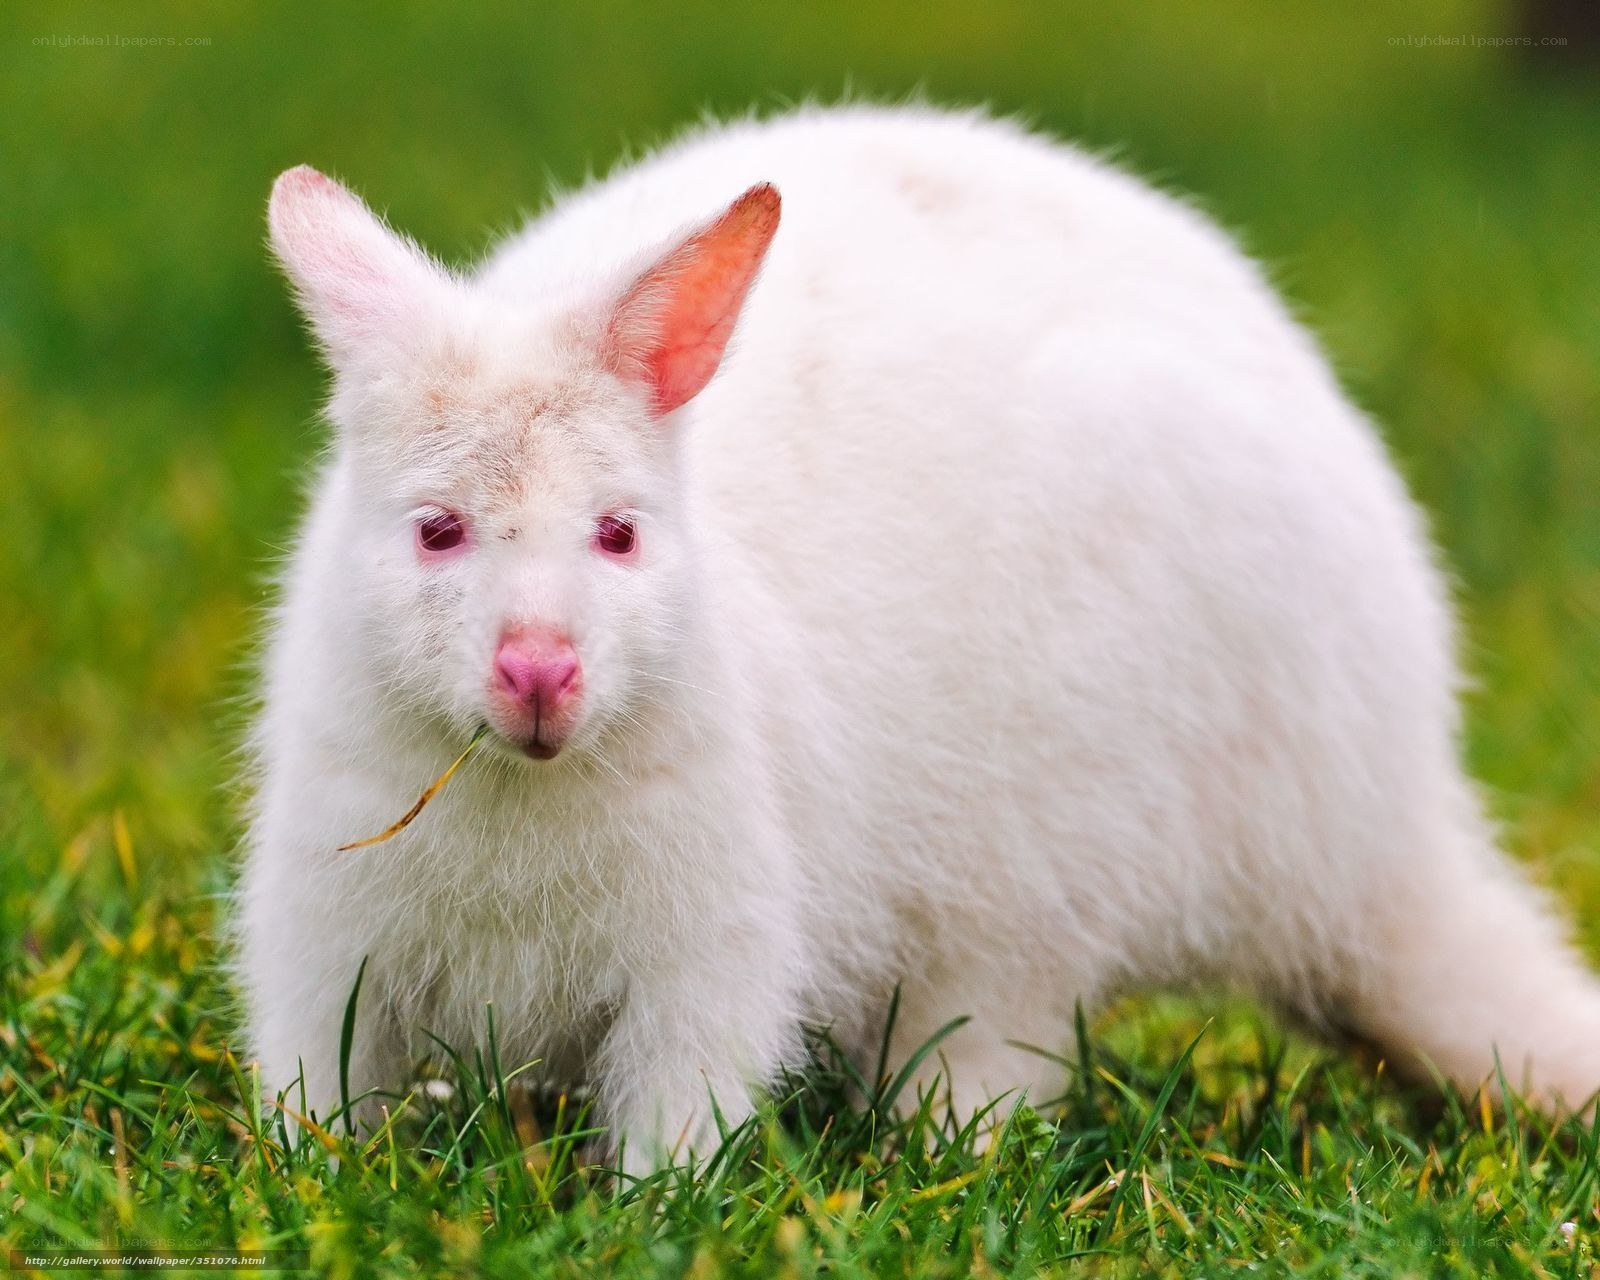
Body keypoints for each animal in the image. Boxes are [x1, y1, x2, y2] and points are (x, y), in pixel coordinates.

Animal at [237, 103, 1600, 1172]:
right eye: (437, 530)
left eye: (619, 533)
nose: (539, 670)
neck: (522, 781)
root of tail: (1384, 827)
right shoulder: (319, 924)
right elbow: (320, 1081)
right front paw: (313, 1176)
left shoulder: (719, 932)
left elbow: (684, 1095)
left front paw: (654, 1208)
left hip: (1056, 861)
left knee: (1002, 1043)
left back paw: (934, 1143)